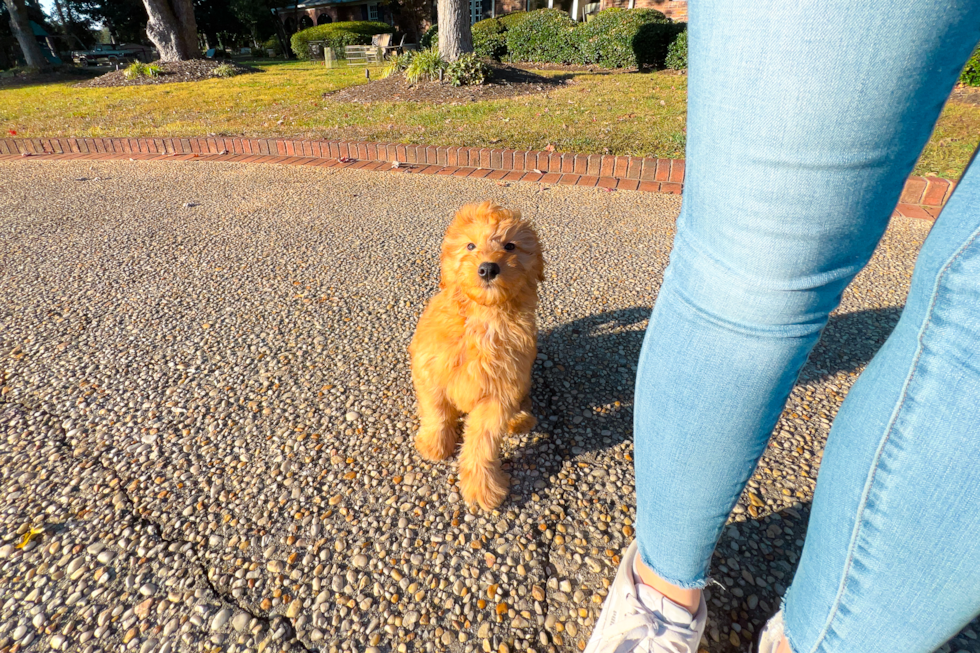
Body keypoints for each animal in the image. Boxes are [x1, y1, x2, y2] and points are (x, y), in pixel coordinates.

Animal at [408, 201, 544, 506]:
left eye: (510, 246)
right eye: (470, 245)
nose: (488, 269)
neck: (482, 317)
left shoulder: (501, 390)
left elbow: (483, 440)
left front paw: (482, 487)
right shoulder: (429, 368)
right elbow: (436, 410)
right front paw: (434, 445)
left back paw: (520, 419)